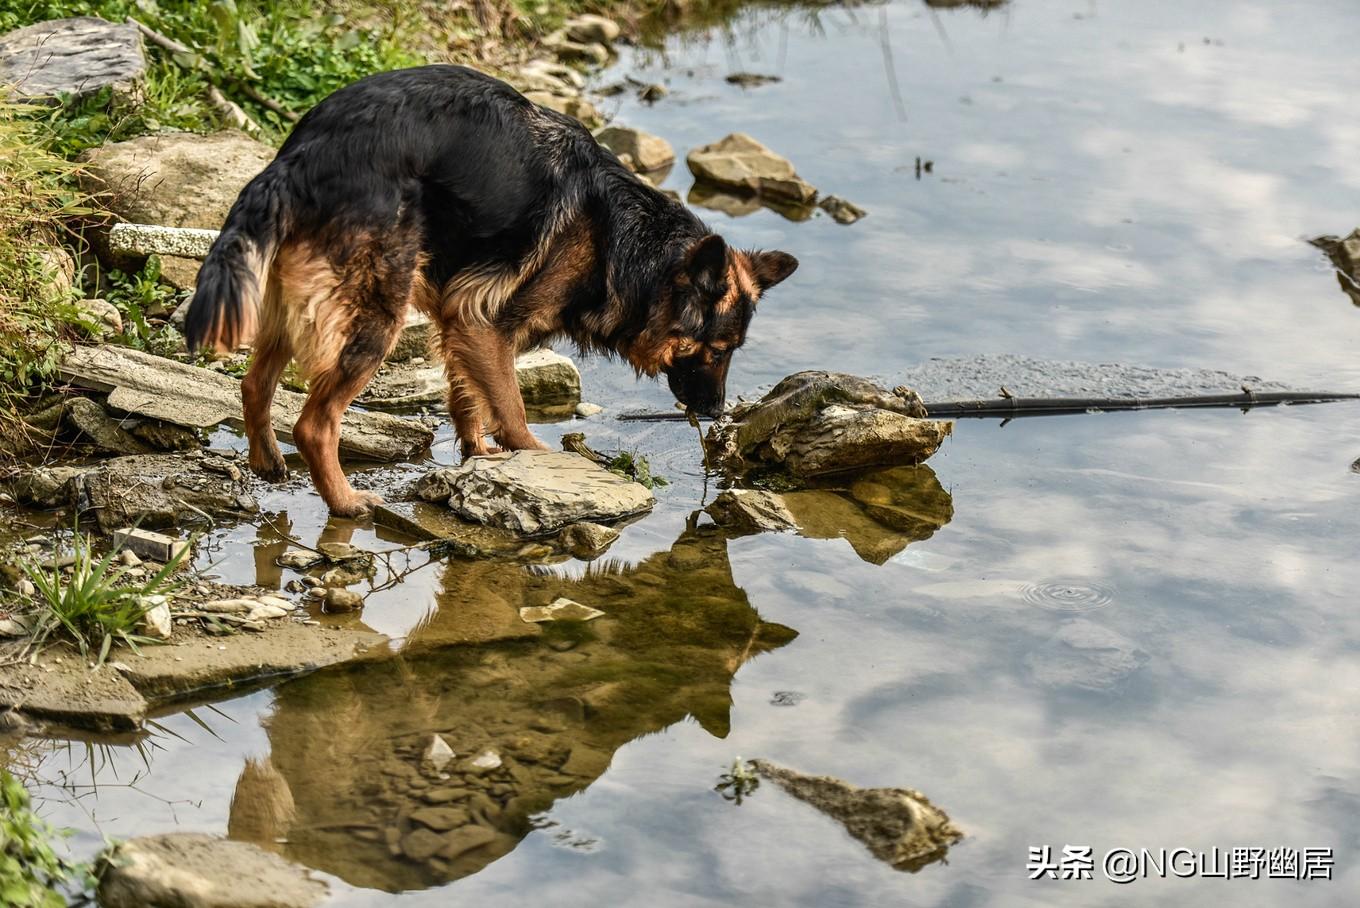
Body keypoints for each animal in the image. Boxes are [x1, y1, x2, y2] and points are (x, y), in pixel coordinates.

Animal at [183, 65, 794, 516]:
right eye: (718, 350)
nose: (715, 413)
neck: (629, 245)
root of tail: (301, 154)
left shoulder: (462, 324)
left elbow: (467, 397)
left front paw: (478, 454)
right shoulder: (484, 323)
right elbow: (511, 407)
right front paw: (534, 458)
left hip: (297, 303)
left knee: (254, 381)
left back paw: (267, 459)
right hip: (377, 317)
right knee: (314, 424)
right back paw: (345, 501)